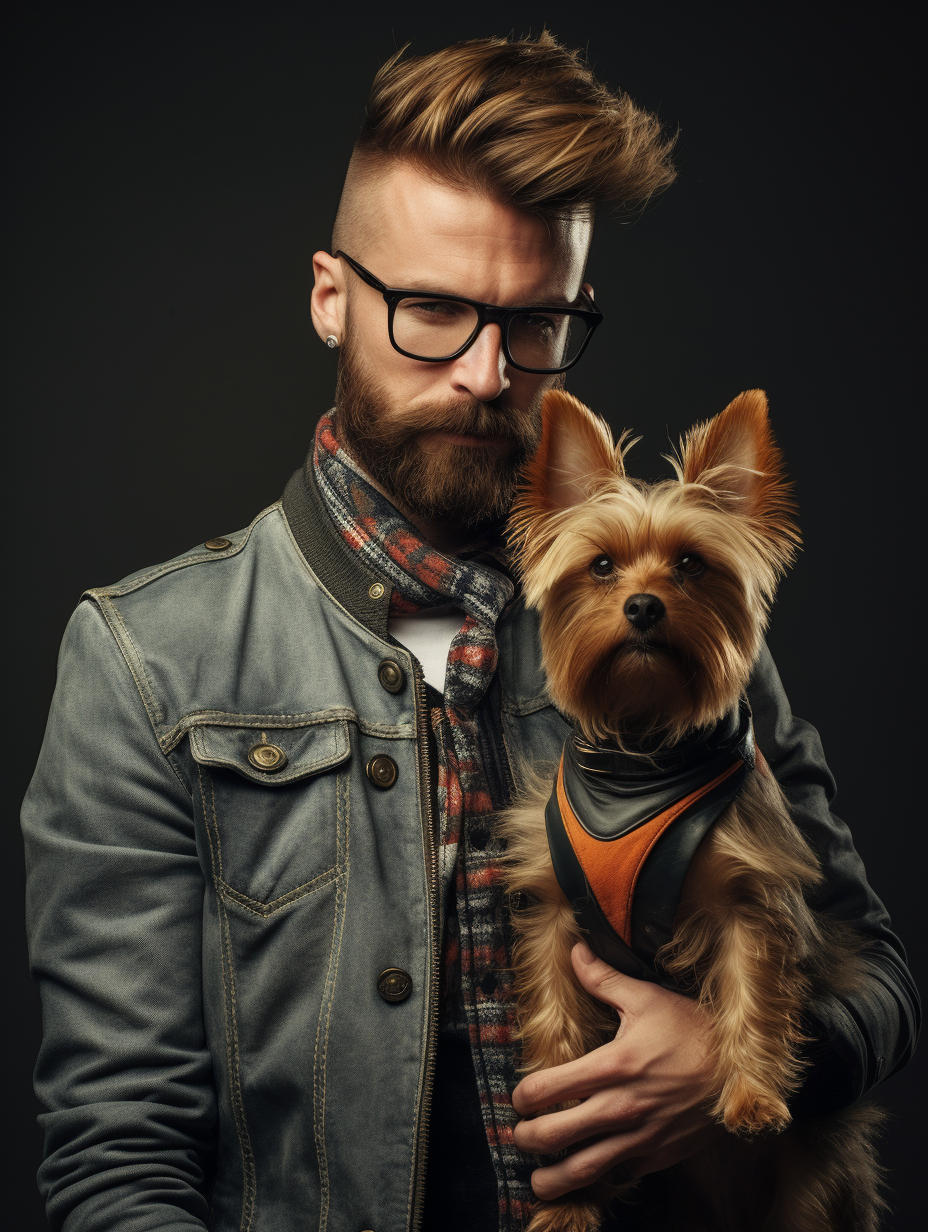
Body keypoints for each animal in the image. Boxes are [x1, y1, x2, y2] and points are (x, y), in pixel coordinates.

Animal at [500, 389, 882, 1232]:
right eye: (601, 565)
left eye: (690, 564)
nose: (643, 605)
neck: (643, 757)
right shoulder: (554, 913)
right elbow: (554, 1020)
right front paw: (565, 1187)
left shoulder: (751, 890)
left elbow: (752, 985)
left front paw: (752, 1098)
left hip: (813, 1186)